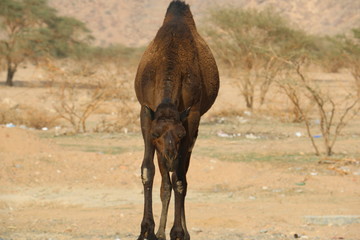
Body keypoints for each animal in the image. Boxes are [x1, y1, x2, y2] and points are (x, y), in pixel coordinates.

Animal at [134, 0, 219, 239]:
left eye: (181, 134)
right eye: (155, 133)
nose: (171, 156)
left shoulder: (192, 116)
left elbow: (179, 178)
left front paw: (178, 231)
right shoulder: (146, 111)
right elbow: (148, 170)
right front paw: (147, 229)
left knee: (179, 176)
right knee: (166, 180)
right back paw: (160, 232)